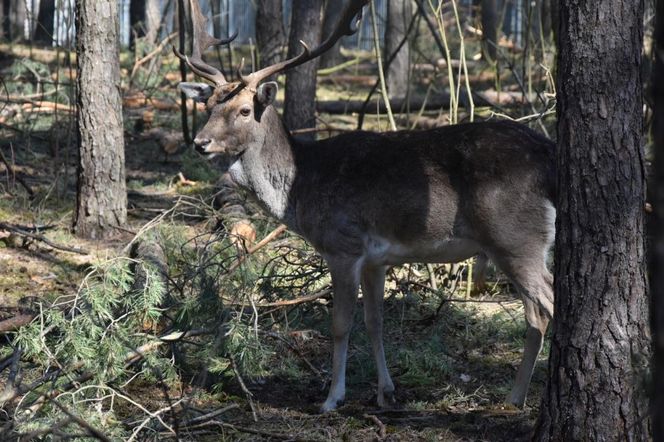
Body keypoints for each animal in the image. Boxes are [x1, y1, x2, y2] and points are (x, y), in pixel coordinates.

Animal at [175, 0, 556, 412]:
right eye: (208, 105)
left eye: (245, 110)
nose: (200, 142)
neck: (300, 186)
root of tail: (546, 153)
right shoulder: (378, 258)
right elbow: (375, 322)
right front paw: (385, 392)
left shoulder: (344, 245)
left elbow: (341, 324)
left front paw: (332, 398)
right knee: (537, 309)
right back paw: (519, 394)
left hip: (514, 236)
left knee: (545, 304)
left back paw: (519, 396)